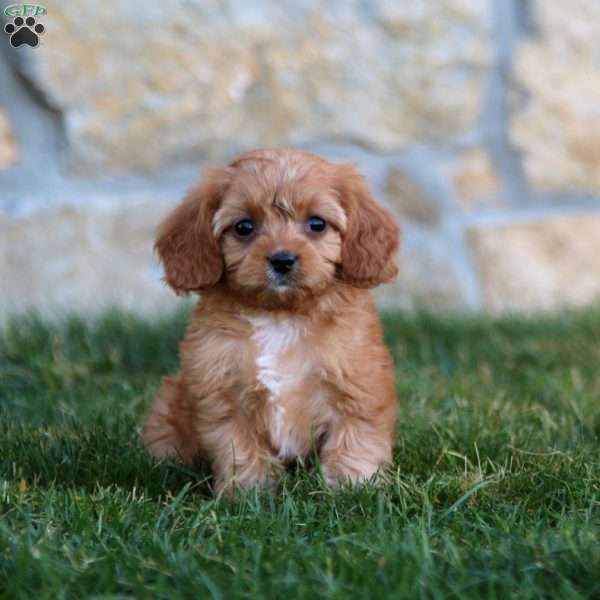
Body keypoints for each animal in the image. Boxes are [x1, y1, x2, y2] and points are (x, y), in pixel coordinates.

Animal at [143, 148, 400, 494]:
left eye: (317, 223)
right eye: (244, 227)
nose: (282, 259)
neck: (281, 315)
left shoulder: (357, 385)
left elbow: (355, 440)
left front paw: (353, 487)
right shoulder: (222, 392)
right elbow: (238, 446)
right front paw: (249, 492)